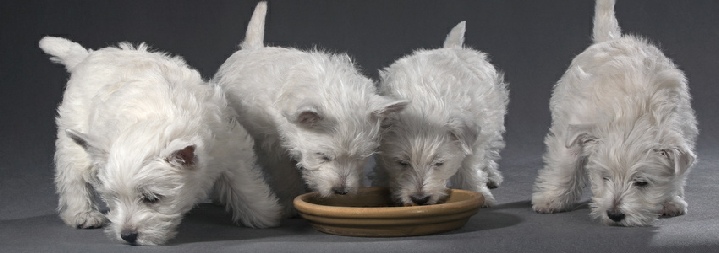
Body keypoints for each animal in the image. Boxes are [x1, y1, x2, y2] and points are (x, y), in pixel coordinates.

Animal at [38, 36, 282, 244]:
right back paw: (83, 214)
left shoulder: (229, 147)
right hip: (74, 138)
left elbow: (244, 183)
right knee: (73, 177)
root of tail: (85, 58)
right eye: (113, 198)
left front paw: (264, 214)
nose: (127, 236)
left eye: (152, 198)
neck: (156, 120)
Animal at [211, 1, 408, 215]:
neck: (330, 88)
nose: (341, 191)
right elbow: (286, 175)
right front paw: (290, 203)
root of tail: (250, 48)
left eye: (359, 157)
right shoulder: (276, 148)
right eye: (323, 156)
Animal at [374, 21, 510, 207]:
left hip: (493, 121)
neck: (423, 105)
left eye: (439, 163)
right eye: (402, 162)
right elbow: (383, 169)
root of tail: (452, 47)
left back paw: (492, 176)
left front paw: (480, 194)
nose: (420, 199)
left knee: (490, 151)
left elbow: (470, 168)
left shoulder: (473, 144)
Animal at [536, 0, 696, 226]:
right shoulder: (572, 131)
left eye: (641, 182)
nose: (614, 214)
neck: (634, 116)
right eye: (605, 177)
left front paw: (669, 201)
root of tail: (611, 38)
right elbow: (565, 166)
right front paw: (551, 199)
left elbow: (676, 175)